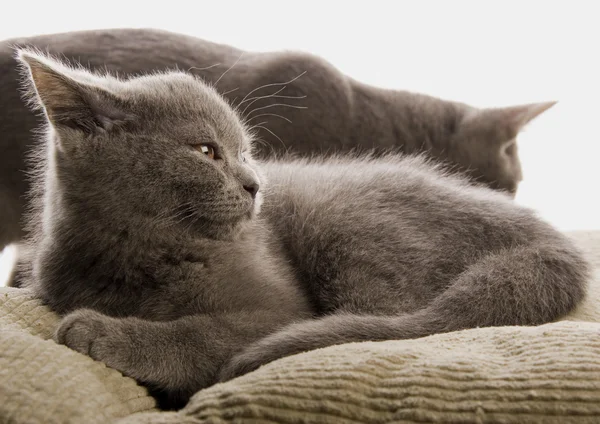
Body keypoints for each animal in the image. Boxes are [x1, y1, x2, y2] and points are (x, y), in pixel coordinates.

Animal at [16, 50, 588, 410]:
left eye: (246, 151)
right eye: (206, 150)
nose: (256, 185)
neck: (143, 254)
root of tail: (544, 235)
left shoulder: (277, 311)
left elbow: (200, 333)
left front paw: (100, 330)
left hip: (343, 220)